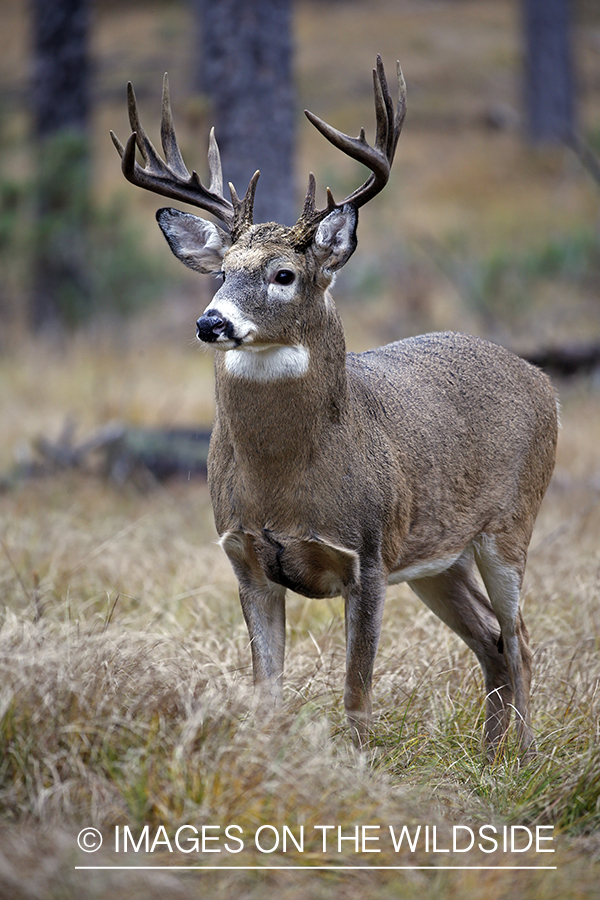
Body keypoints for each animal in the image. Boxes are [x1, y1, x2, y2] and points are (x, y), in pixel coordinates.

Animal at [112, 59, 556, 756]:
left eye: (284, 275)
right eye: (221, 272)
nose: (211, 322)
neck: (285, 484)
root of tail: (542, 379)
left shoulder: (368, 555)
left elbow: (357, 696)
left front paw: (356, 765)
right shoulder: (243, 555)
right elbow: (267, 691)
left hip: (510, 525)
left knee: (520, 639)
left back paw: (525, 760)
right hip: (439, 556)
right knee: (490, 640)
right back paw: (488, 758)